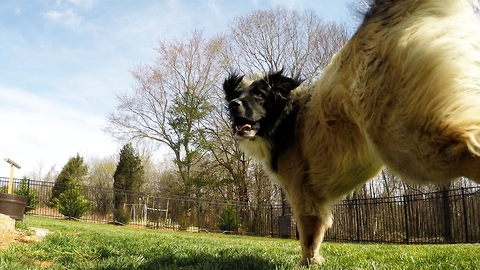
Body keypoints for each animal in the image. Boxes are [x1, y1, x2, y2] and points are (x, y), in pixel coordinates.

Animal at [224, 0, 480, 266]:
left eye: (259, 95)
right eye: (236, 95)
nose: (233, 104)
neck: (286, 117)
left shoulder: (303, 196)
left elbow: (308, 237)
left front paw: (307, 264)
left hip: (406, 140)